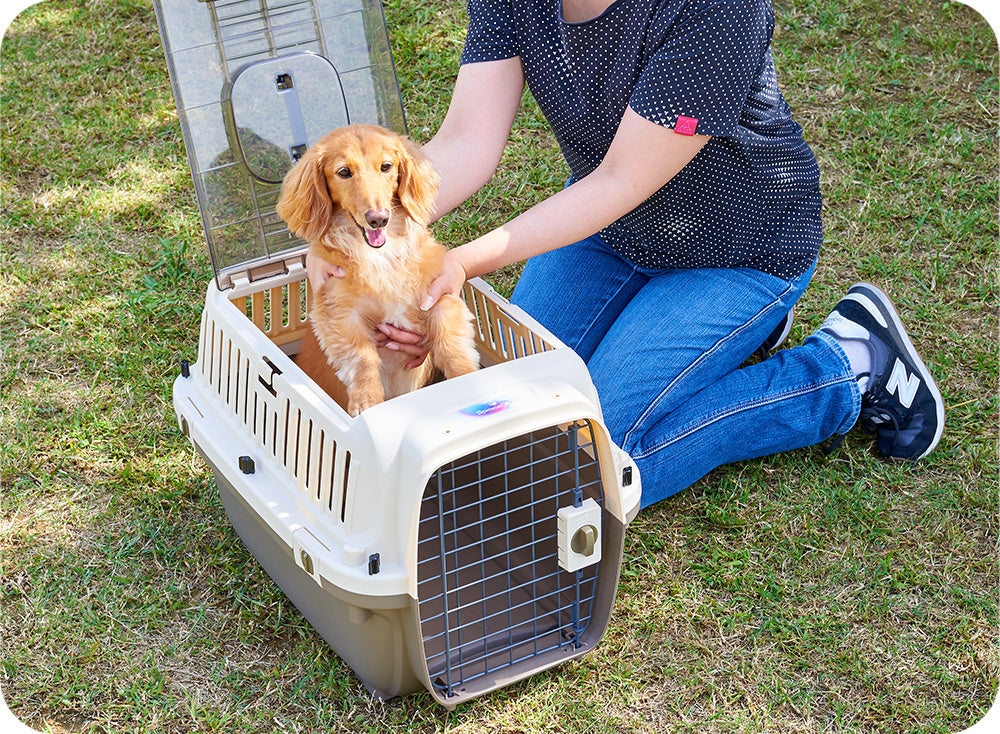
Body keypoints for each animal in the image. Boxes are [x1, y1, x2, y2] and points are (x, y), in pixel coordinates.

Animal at [274, 123, 476, 416]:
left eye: (386, 166)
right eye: (344, 172)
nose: (378, 219)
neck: (380, 256)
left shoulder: (439, 297)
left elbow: (451, 345)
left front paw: (468, 378)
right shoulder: (341, 317)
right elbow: (363, 359)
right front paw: (367, 401)